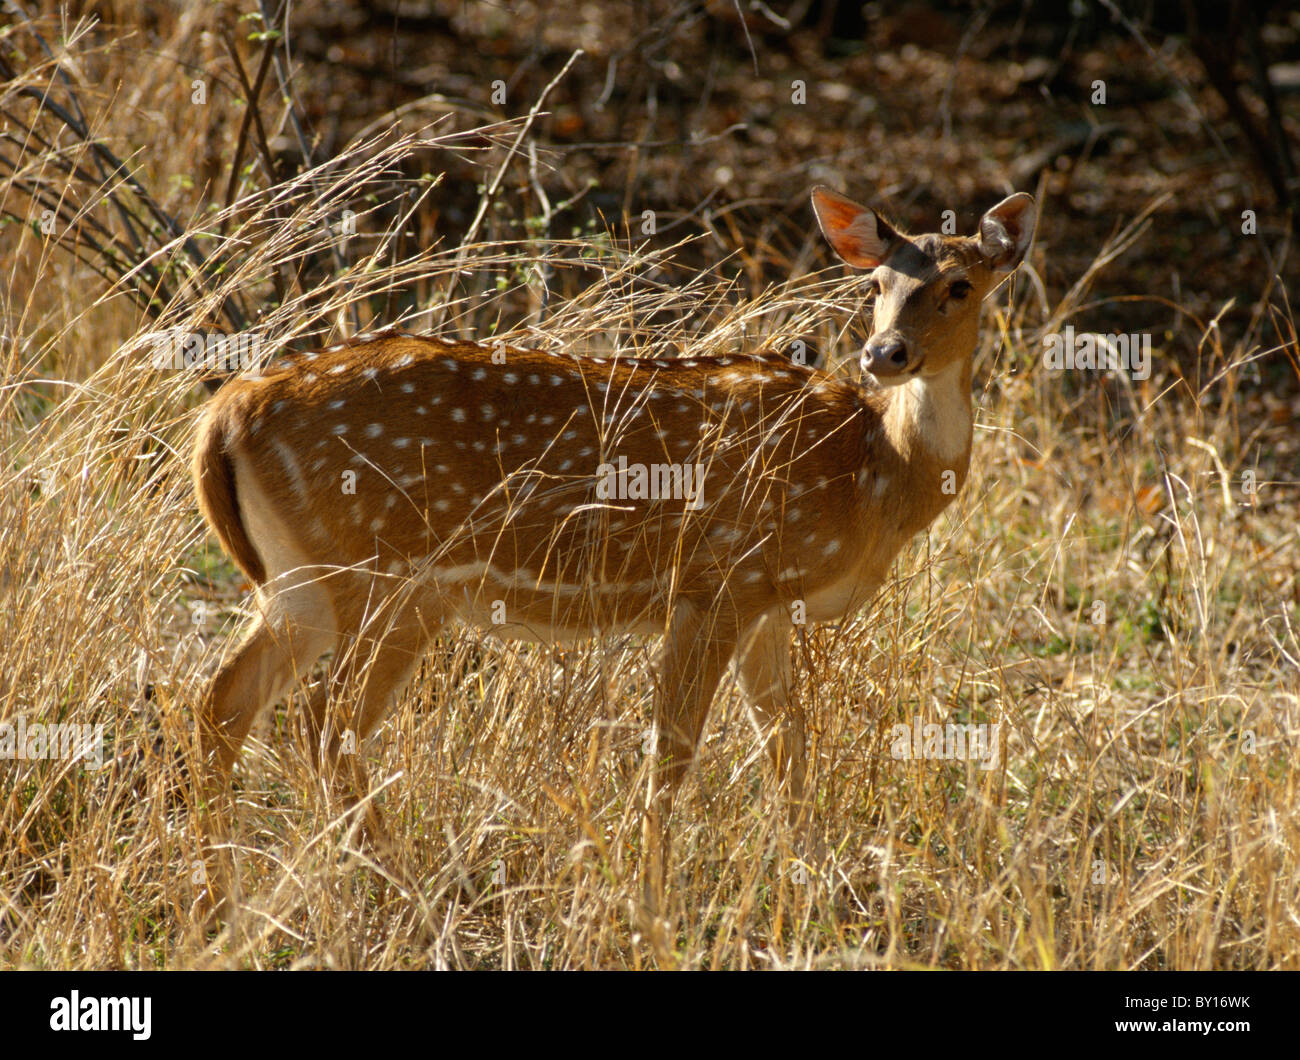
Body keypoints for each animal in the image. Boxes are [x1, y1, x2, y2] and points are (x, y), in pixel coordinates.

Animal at [189, 185, 1034, 910]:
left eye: (960, 285)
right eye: (877, 284)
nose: (884, 354)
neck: (871, 477)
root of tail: (228, 411)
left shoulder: (767, 600)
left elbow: (788, 741)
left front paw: (813, 878)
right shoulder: (716, 581)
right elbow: (675, 750)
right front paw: (648, 891)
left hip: (300, 582)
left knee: (223, 701)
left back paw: (220, 895)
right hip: (391, 577)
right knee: (323, 721)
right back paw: (403, 887)